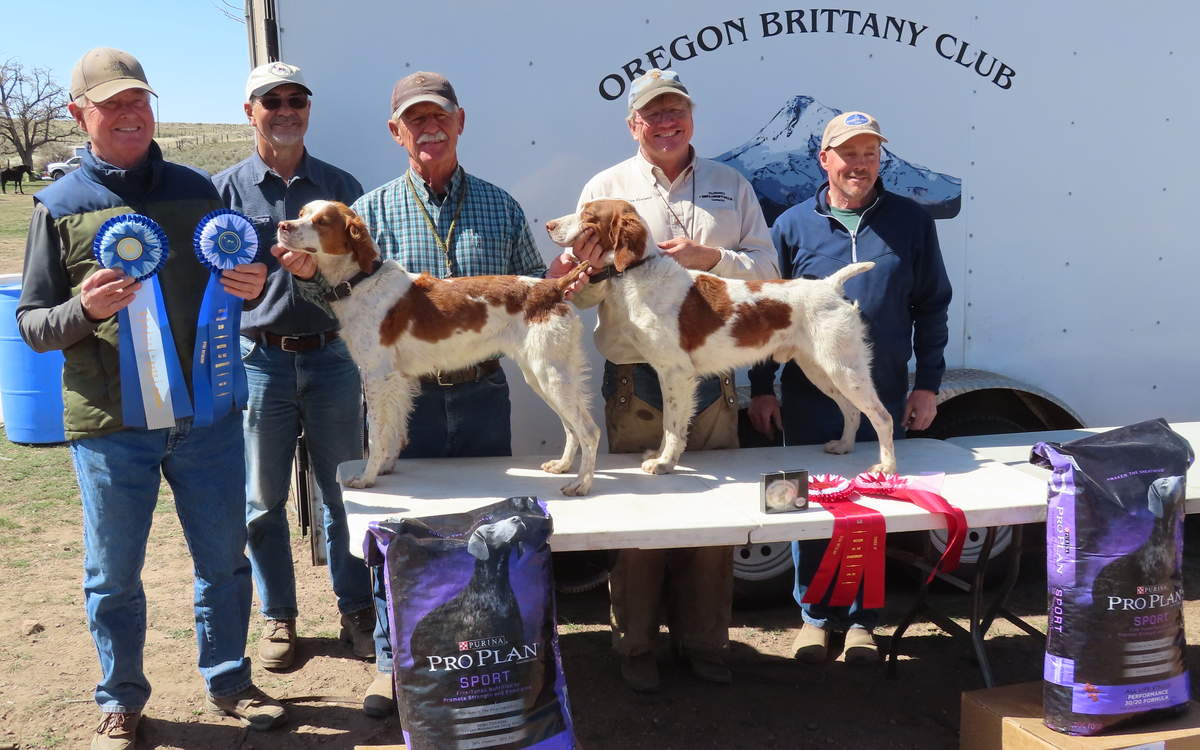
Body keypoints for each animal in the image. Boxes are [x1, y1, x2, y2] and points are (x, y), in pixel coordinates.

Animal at [279, 198, 600, 496]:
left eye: (322, 222)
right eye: (301, 213)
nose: (283, 226)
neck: (359, 282)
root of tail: (551, 287)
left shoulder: (376, 374)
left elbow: (376, 434)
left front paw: (367, 477)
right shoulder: (398, 379)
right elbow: (395, 429)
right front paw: (385, 467)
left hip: (550, 374)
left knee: (589, 431)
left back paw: (581, 485)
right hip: (541, 375)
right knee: (572, 427)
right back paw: (563, 466)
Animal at [549, 199, 897, 472]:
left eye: (588, 214)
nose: (550, 225)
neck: (640, 271)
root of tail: (829, 285)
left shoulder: (676, 371)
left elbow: (672, 423)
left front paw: (664, 463)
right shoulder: (667, 372)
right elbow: (671, 421)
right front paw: (661, 455)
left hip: (844, 367)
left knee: (882, 415)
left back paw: (887, 467)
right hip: (821, 369)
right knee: (852, 411)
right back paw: (844, 446)